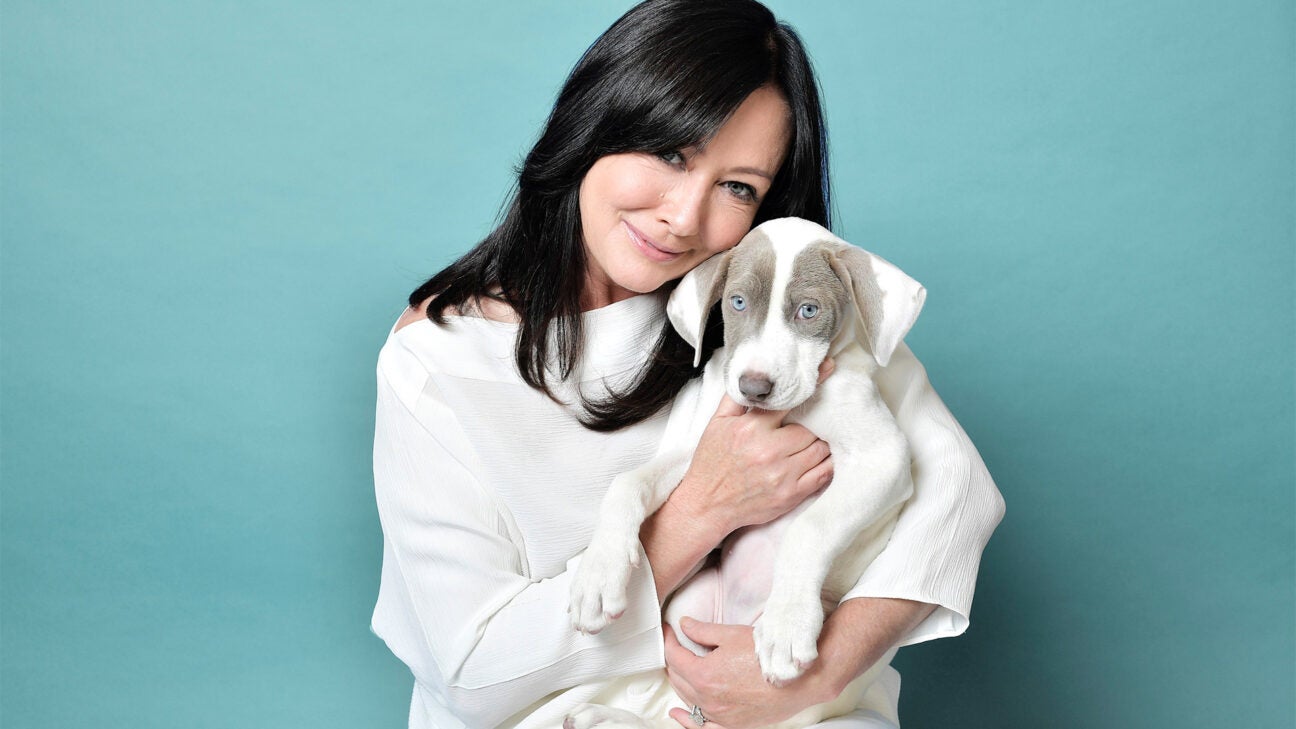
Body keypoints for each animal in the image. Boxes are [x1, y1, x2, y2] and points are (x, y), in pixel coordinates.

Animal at [565, 216, 922, 726]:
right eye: (737, 303)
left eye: (809, 310)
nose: (754, 388)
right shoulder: (702, 450)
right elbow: (627, 482)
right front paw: (597, 576)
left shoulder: (884, 458)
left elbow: (811, 528)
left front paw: (788, 624)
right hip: (689, 608)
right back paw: (603, 716)